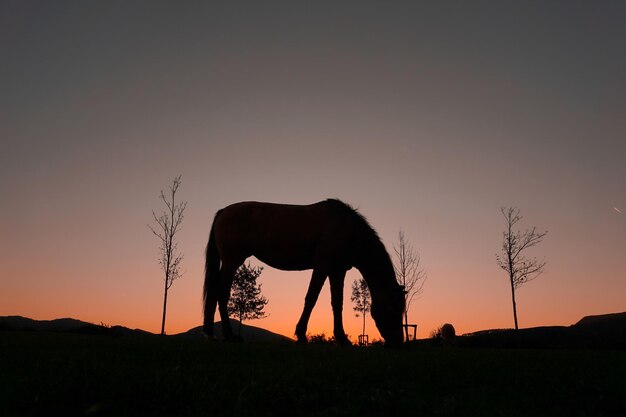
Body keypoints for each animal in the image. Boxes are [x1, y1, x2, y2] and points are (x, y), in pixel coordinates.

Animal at [202, 198, 402, 344]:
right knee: (221, 293)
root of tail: (223, 212)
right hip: (231, 262)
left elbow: (337, 303)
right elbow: (311, 298)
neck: (348, 229)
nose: (398, 342)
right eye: (393, 308)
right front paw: (301, 335)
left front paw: (342, 338)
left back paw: (211, 332)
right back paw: (230, 335)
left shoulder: (337, 271)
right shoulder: (322, 266)